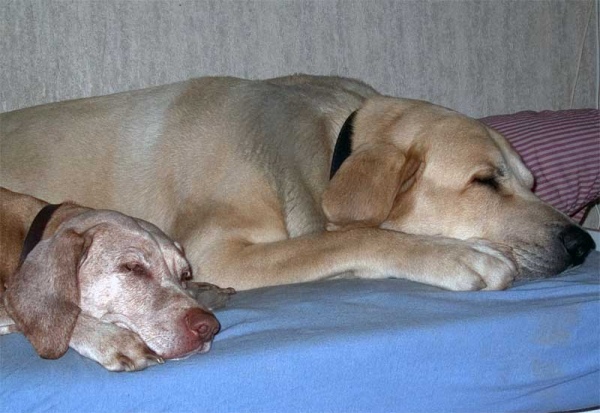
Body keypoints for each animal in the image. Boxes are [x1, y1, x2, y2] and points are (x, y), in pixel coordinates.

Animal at [0, 75, 592, 292]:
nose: (583, 243)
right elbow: (348, 237)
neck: (329, 149)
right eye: (485, 181)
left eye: (533, 182)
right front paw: (454, 254)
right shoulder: (214, 251)